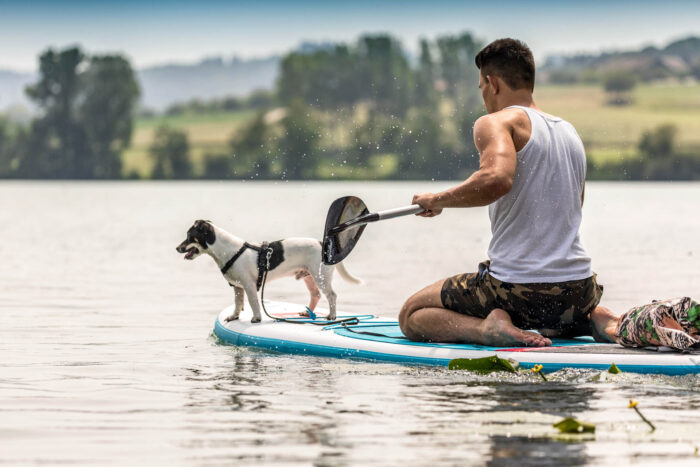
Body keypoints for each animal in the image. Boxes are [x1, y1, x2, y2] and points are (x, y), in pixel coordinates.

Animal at [175, 221, 364, 324]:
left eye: (189, 236)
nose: (177, 248)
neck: (227, 250)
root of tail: (321, 244)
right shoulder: (237, 287)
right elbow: (238, 303)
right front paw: (234, 316)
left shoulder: (249, 285)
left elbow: (253, 303)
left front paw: (256, 318)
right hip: (309, 276)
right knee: (316, 295)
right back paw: (307, 313)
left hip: (321, 277)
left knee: (332, 295)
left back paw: (332, 316)